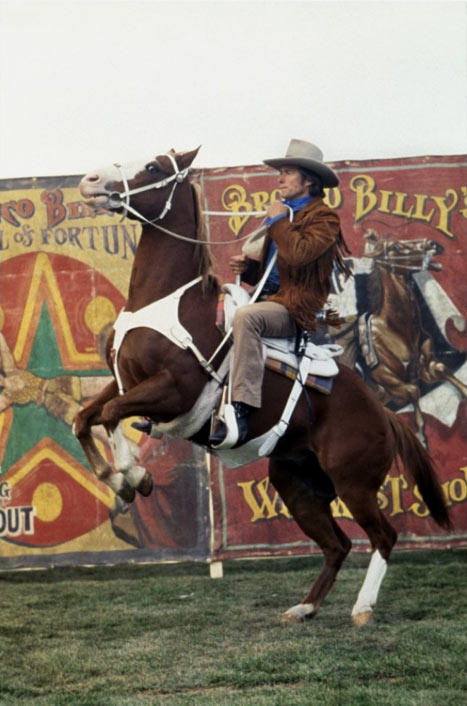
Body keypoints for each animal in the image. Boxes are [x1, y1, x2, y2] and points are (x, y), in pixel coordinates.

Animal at [75, 146, 452, 624]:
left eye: (154, 167)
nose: (90, 181)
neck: (164, 303)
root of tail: (382, 413)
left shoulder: (174, 391)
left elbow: (108, 416)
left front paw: (135, 477)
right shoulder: (125, 382)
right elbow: (85, 417)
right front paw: (118, 480)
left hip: (355, 482)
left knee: (383, 535)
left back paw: (362, 609)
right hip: (297, 484)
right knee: (337, 544)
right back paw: (304, 607)